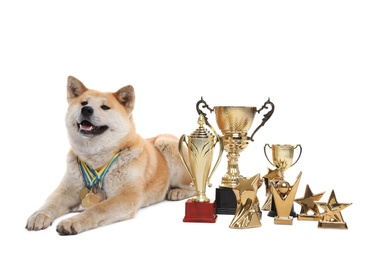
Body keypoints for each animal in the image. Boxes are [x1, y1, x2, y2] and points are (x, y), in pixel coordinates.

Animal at [25, 75, 195, 236]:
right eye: (83, 103)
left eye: (105, 107)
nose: (86, 110)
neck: (96, 160)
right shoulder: (66, 190)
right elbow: (51, 202)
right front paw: (39, 215)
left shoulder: (126, 196)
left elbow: (97, 209)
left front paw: (72, 221)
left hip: (165, 143)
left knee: (193, 185)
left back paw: (177, 192)